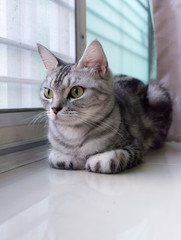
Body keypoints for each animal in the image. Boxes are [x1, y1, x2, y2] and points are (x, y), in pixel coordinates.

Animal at [37, 40, 172, 173]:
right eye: (48, 92)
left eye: (76, 91)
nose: (54, 108)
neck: (74, 136)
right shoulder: (56, 153)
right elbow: (55, 157)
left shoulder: (135, 145)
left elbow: (113, 158)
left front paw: (96, 160)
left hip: (156, 94)